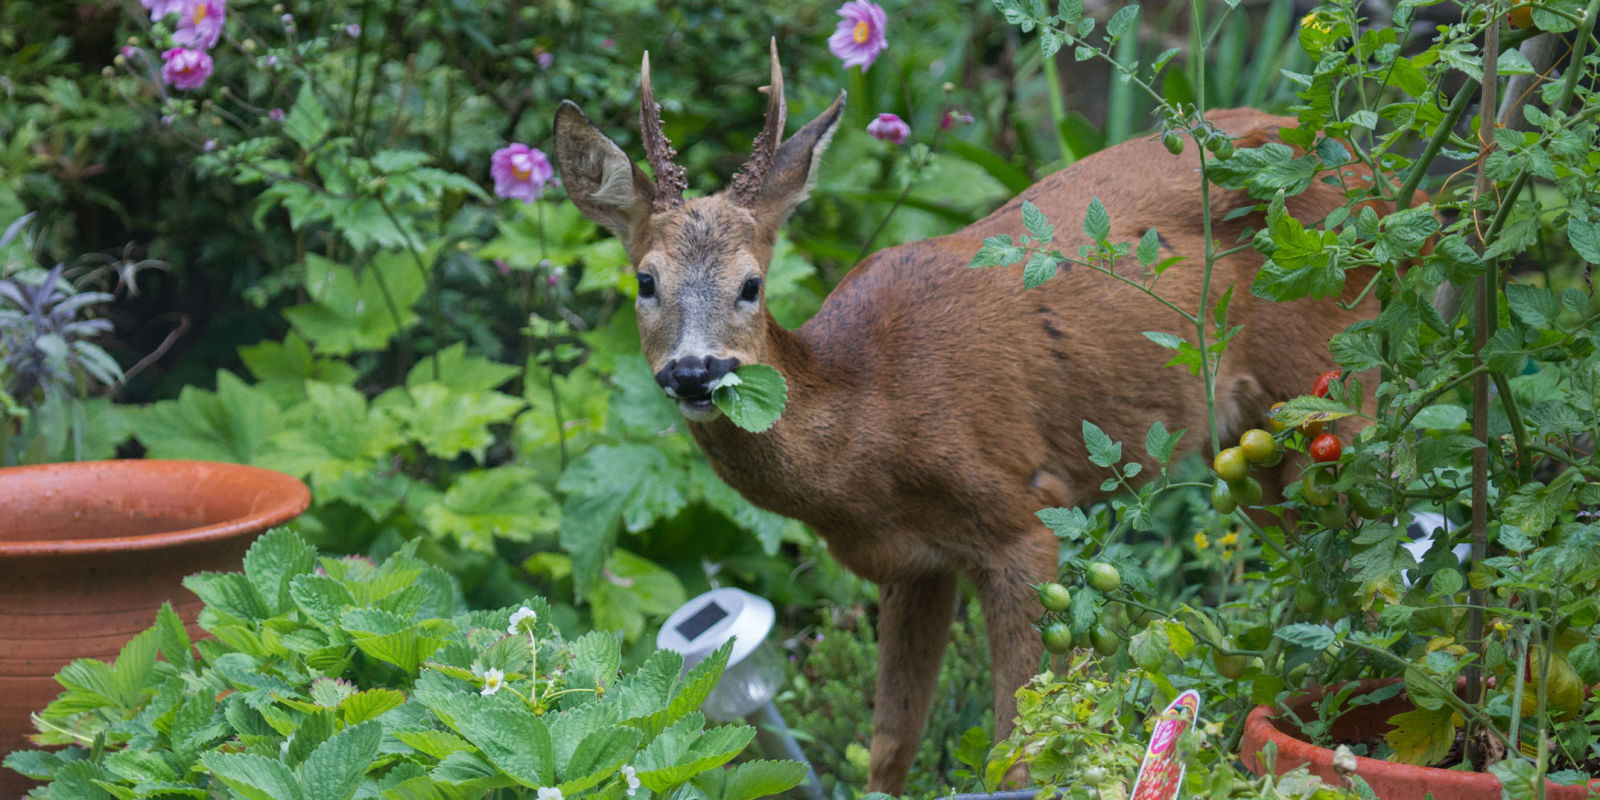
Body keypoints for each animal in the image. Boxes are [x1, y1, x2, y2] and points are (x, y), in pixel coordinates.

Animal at [556, 43, 1382, 793]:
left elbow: (1018, 748)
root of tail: (1362, 161)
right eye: (646, 281)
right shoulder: (910, 565)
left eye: (752, 284)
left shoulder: (1024, 515)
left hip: (1336, 377)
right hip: (1251, 443)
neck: (874, 417)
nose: (695, 371)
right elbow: (890, 746)